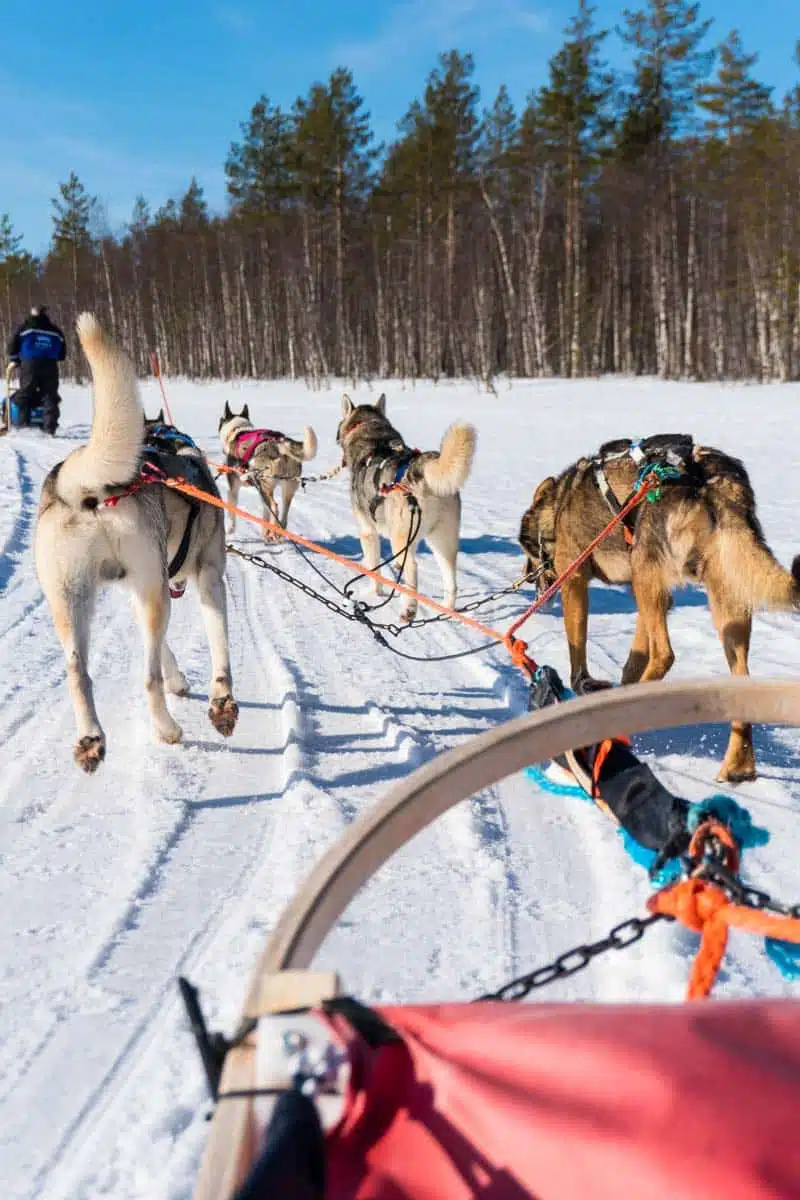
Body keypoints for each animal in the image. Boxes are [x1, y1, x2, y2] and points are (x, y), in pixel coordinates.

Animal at [520, 436, 800, 782]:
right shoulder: (658, 600)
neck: (559, 506)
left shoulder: (575, 581)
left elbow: (578, 651)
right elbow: (632, 662)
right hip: (724, 601)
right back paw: (737, 765)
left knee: (665, 654)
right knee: (738, 677)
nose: (527, 578)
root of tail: (713, 481)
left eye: (526, 551)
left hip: (646, 575)